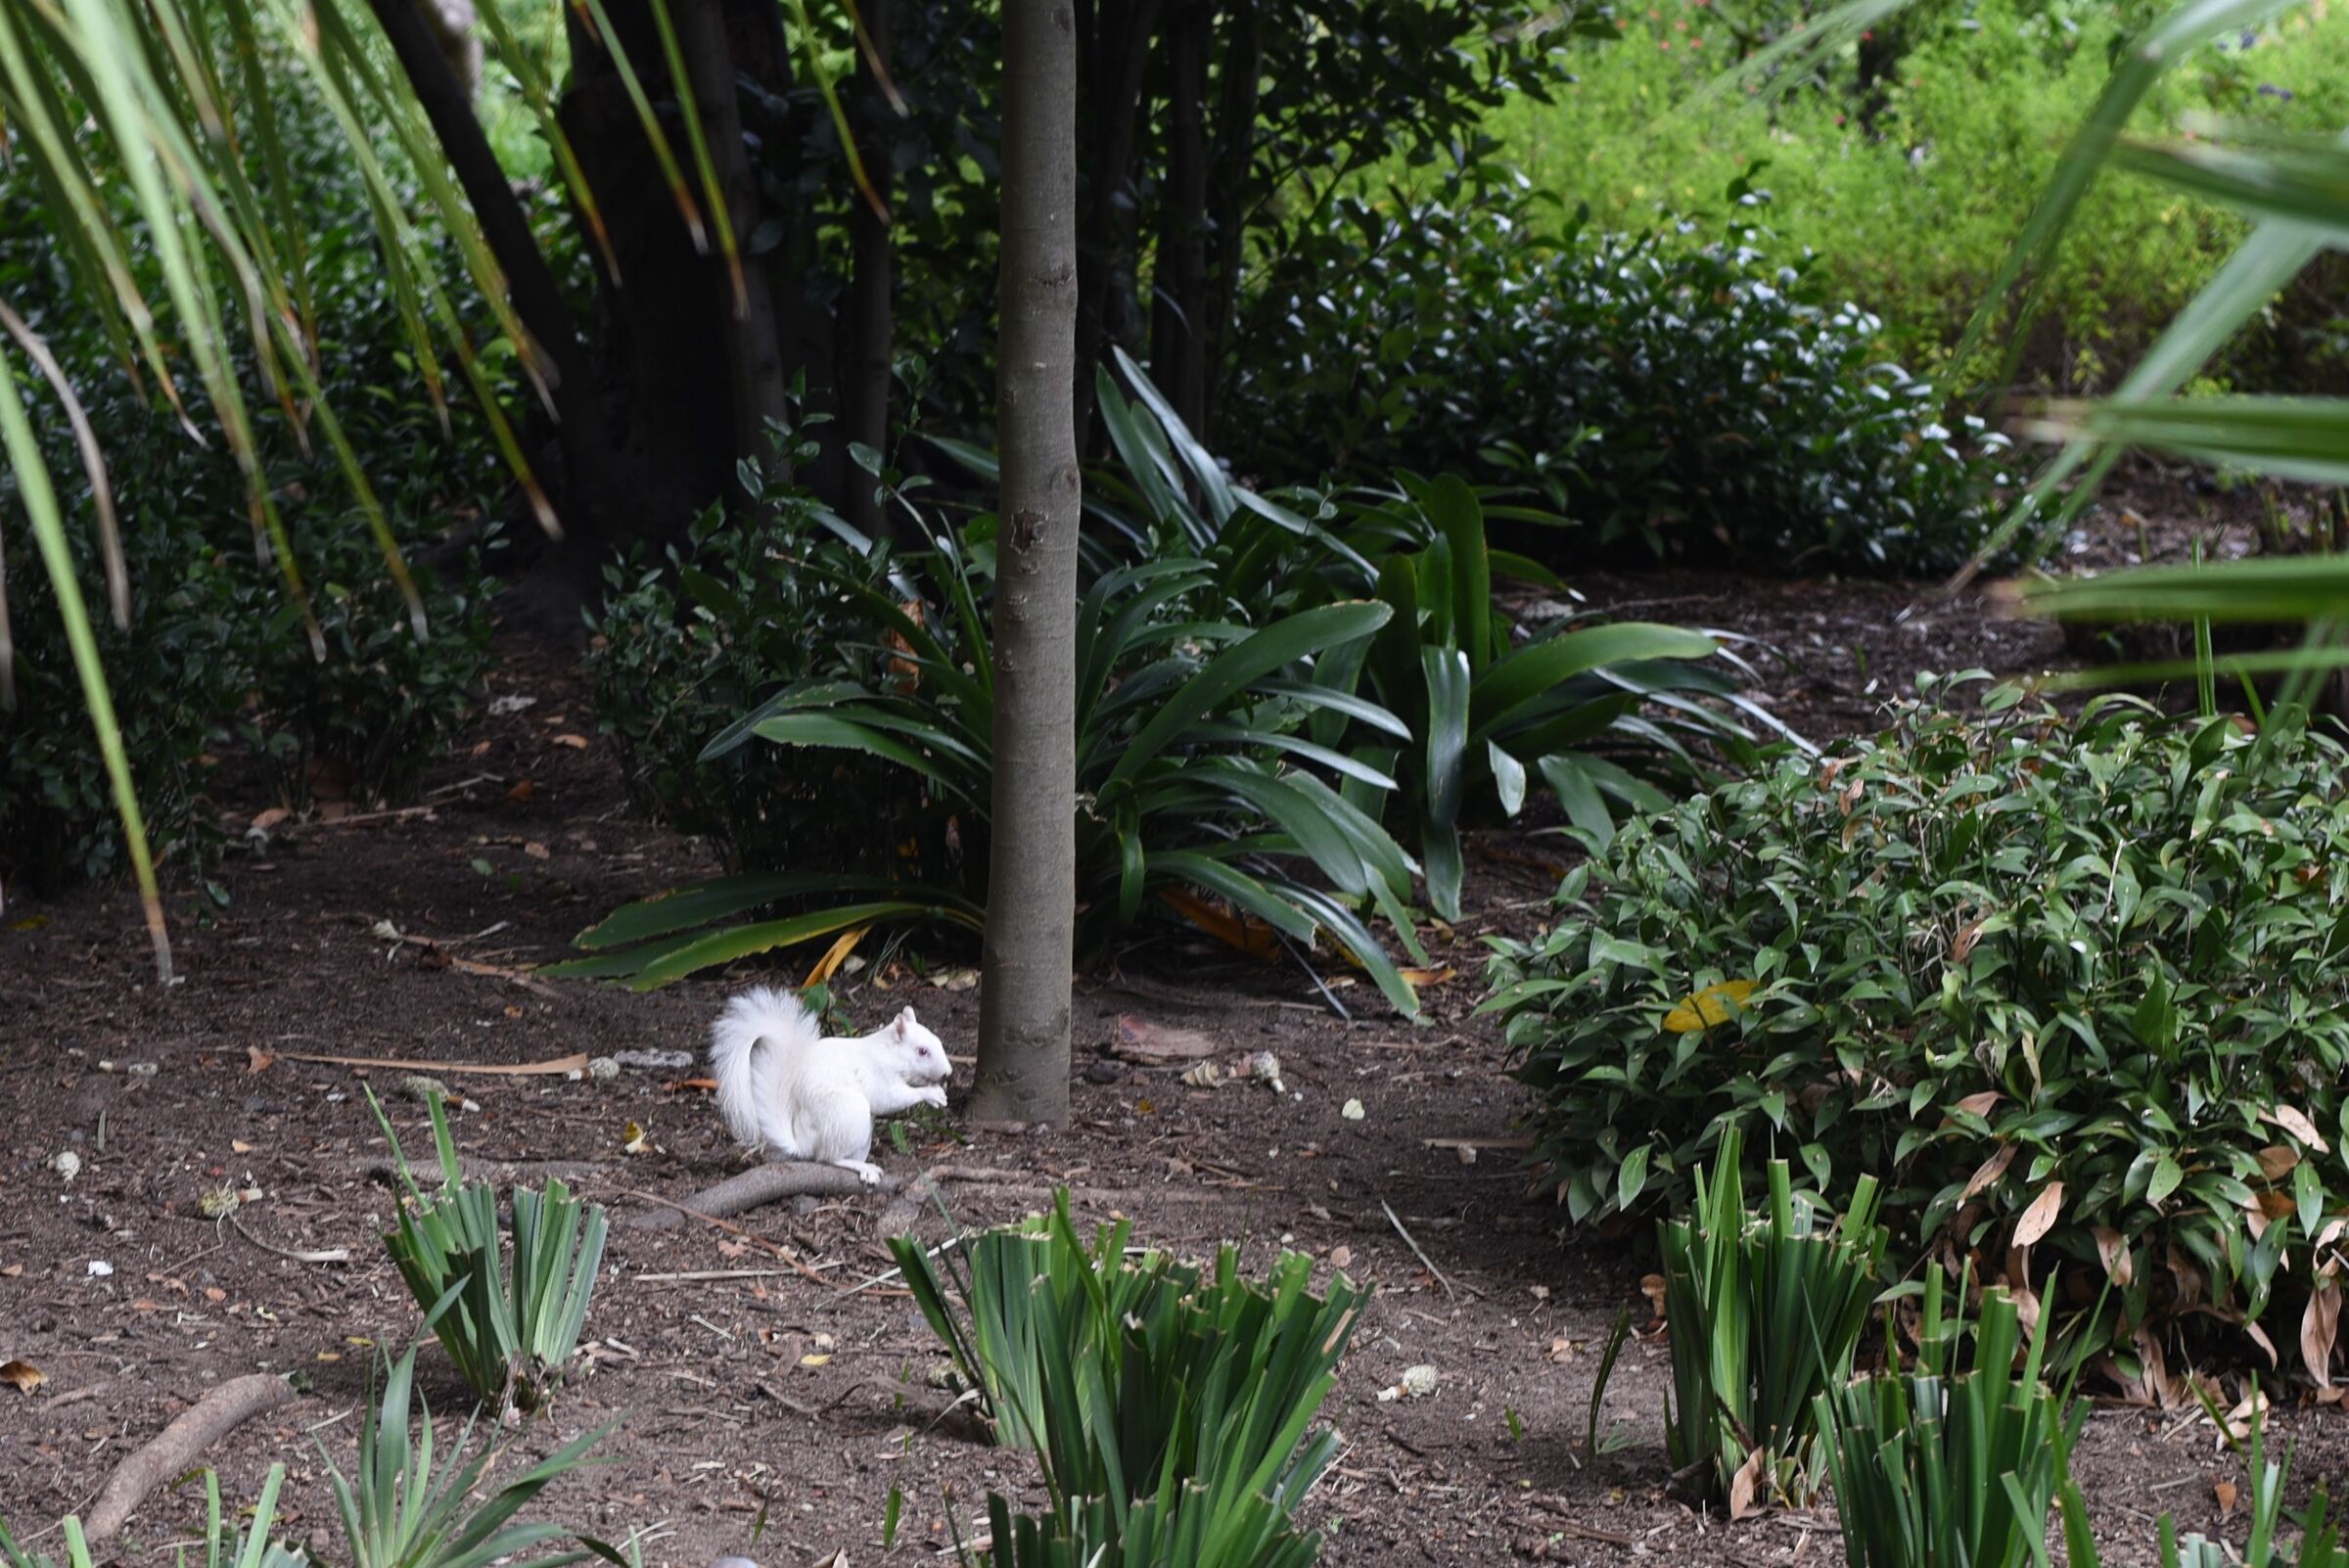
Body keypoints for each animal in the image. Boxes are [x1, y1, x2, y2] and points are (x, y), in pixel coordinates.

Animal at [709, 987, 950, 1185]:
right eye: (922, 1051)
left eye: (939, 1041)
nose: (947, 1072)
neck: (889, 1052)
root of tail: (803, 1143)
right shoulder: (878, 1074)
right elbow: (889, 1099)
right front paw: (931, 1094)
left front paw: (938, 1092)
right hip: (849, 1114)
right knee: (827, 1158)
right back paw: (862, 1167)